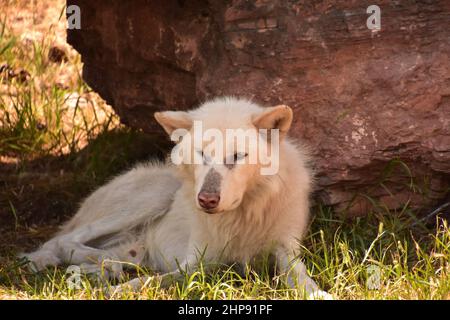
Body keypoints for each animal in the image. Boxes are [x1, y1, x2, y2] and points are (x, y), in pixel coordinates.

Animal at [21, 97, 330, 298]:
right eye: (202, 154)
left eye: (237, 156)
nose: (206, 200)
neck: (243, 217)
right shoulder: (198, 263)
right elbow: (150, 282)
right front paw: (118, 290)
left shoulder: (286, 250)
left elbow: (302, 277)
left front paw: (319, 293)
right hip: (156, 194)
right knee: (63, 241)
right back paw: (103, 268)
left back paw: (105, 268)